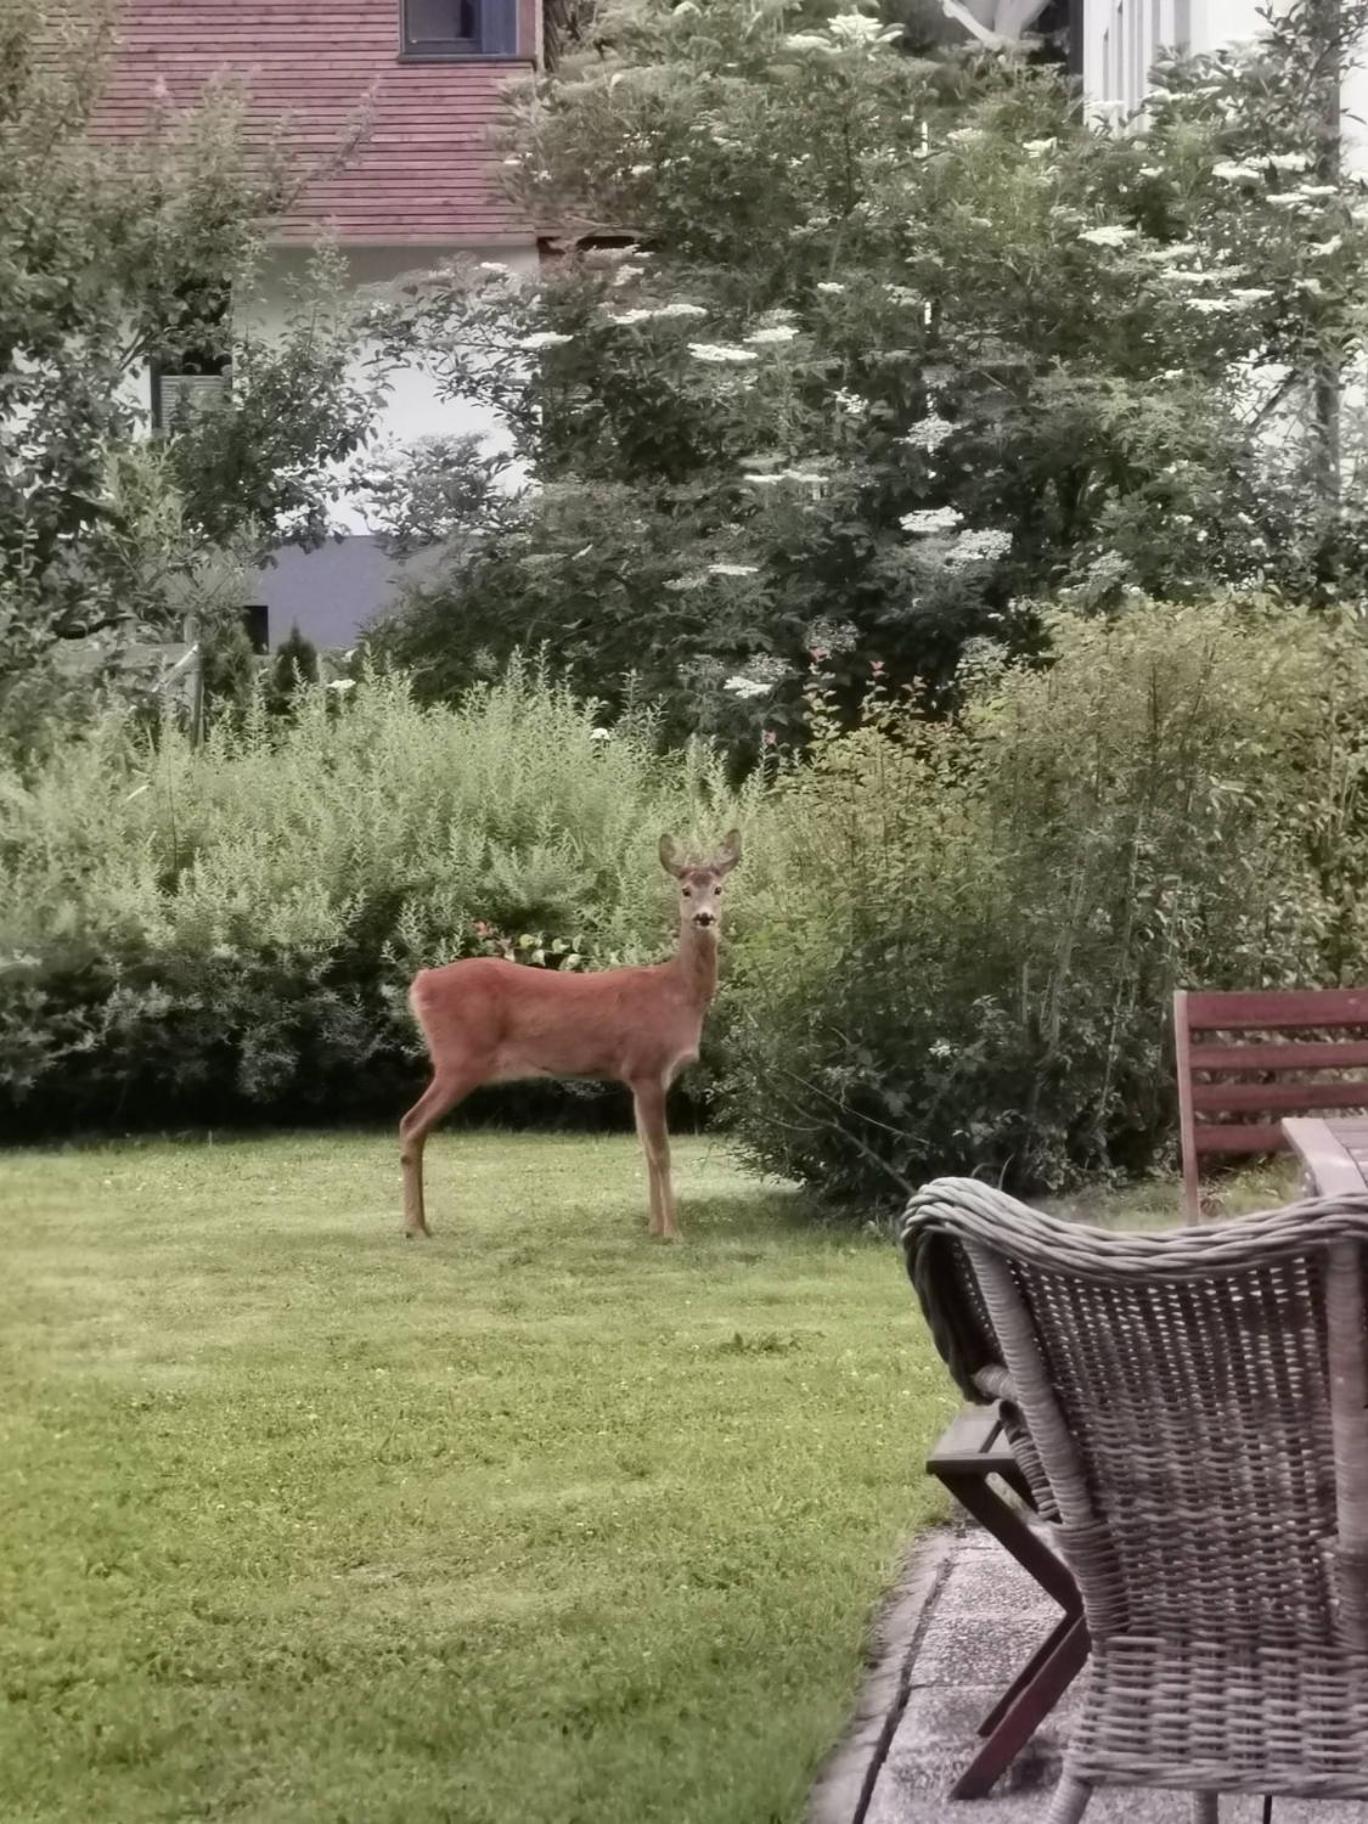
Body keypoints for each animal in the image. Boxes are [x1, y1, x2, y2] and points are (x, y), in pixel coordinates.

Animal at [401, 831, 744, 1240]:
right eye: (686, 889)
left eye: (719, 889)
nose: (704, 917)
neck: (677, 994)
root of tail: (421, 983)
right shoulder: (646, 1066)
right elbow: (661, 1152)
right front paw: (672, 1233)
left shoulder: (636, 1076)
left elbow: (645, 1149)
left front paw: (652, 1227)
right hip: (459, 1059)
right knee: (411, 1123)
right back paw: (414, 1227)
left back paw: (420, 1224)